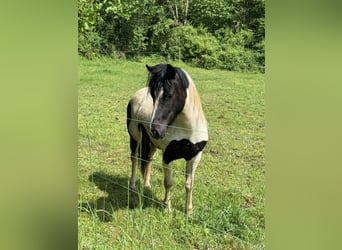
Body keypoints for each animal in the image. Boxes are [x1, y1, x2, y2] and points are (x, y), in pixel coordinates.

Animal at [125, 63, 207, 214]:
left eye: (169, 95)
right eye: (152, 95)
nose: (155, 130)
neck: (188, 131)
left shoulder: (195, 157)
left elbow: (189, 184)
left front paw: (189, 211)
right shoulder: (168, 156)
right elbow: (168, 183)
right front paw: (167, 208)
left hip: (151, 142)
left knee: (149, 160)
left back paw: (147, 185)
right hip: (135, 136)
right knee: (134, 158)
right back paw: (132, 186)